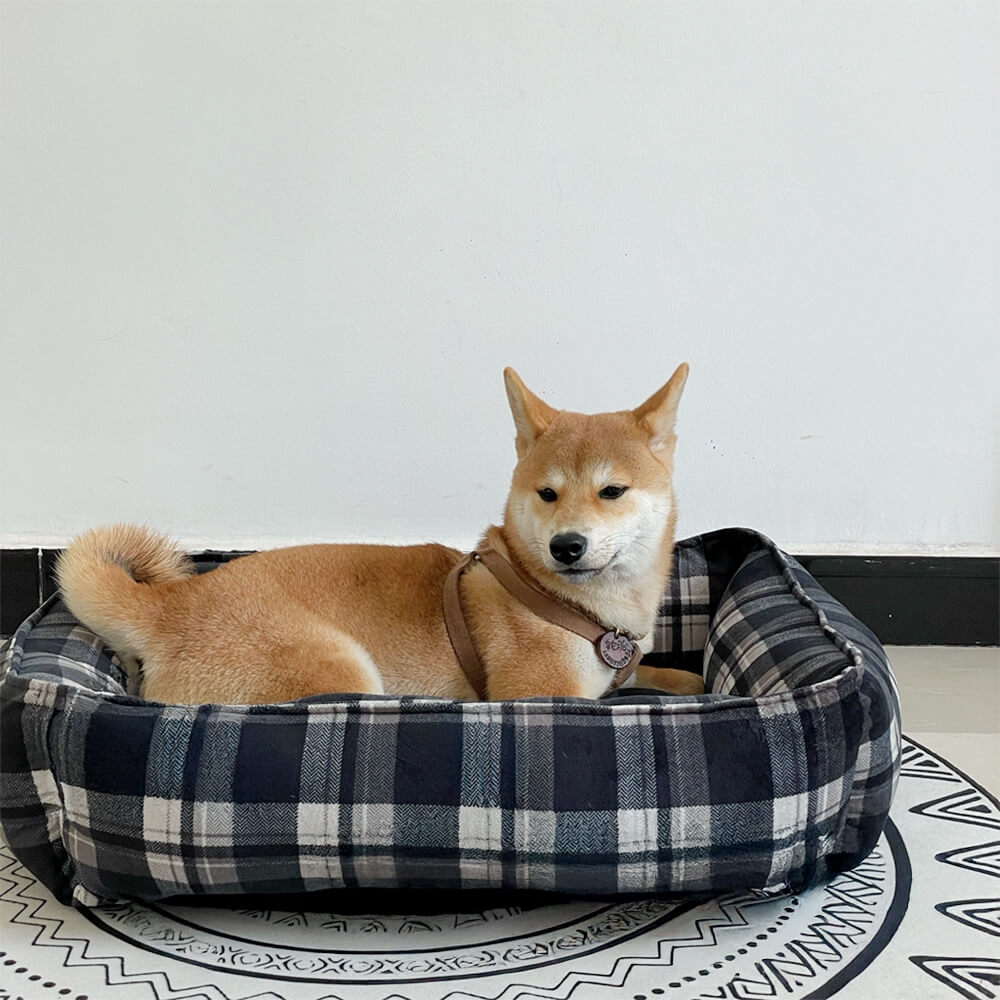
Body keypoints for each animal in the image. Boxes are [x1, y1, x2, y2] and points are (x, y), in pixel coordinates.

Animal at [56, 366, 704, 704]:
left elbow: (672, 675)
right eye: (547, 494)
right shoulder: (540, 695)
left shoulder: (624, 670)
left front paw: (692, 679)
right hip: (340, 672)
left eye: (612, 491)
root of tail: (172, 603)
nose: (565, 546)